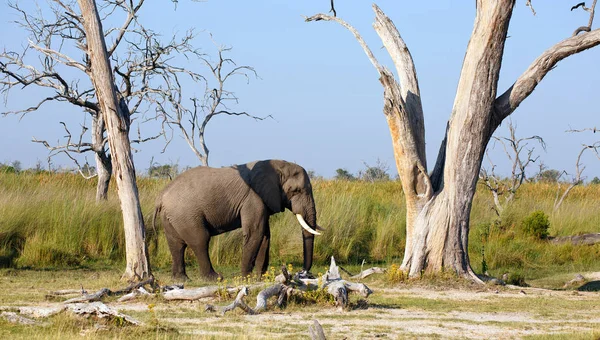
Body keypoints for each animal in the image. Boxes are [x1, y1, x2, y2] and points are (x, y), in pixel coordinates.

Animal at [154, 161, 324, 280]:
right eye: (296, 191)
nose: (303, 273)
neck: (277, 165)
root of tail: (161, 196)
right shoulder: (253, 198)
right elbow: (255, 233)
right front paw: (246, 278)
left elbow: (265, 236)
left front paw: (260, 278)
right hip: (186, 213)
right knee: (200, 240)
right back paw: (215, 278)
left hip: (172, 216)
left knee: (176, 244)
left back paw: (181, 279)